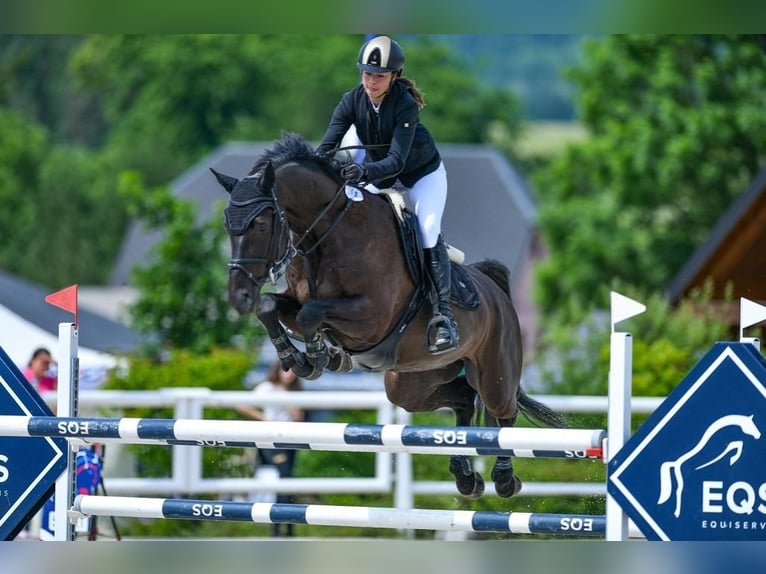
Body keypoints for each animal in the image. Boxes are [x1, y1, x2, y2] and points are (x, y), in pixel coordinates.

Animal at [213, 132, 568, 500]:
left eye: (261, 224)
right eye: (227, 225)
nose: (239, 297)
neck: (327, 235)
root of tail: (495, 290)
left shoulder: (371, 319)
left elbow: (313, 313)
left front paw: (316, 356)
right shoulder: (297, 305)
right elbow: (271, 307)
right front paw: (303, 357)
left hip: (495, 371)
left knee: (503, 414)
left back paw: (504, 479)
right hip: (411, 381)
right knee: (463, 400)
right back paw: (466, 478)